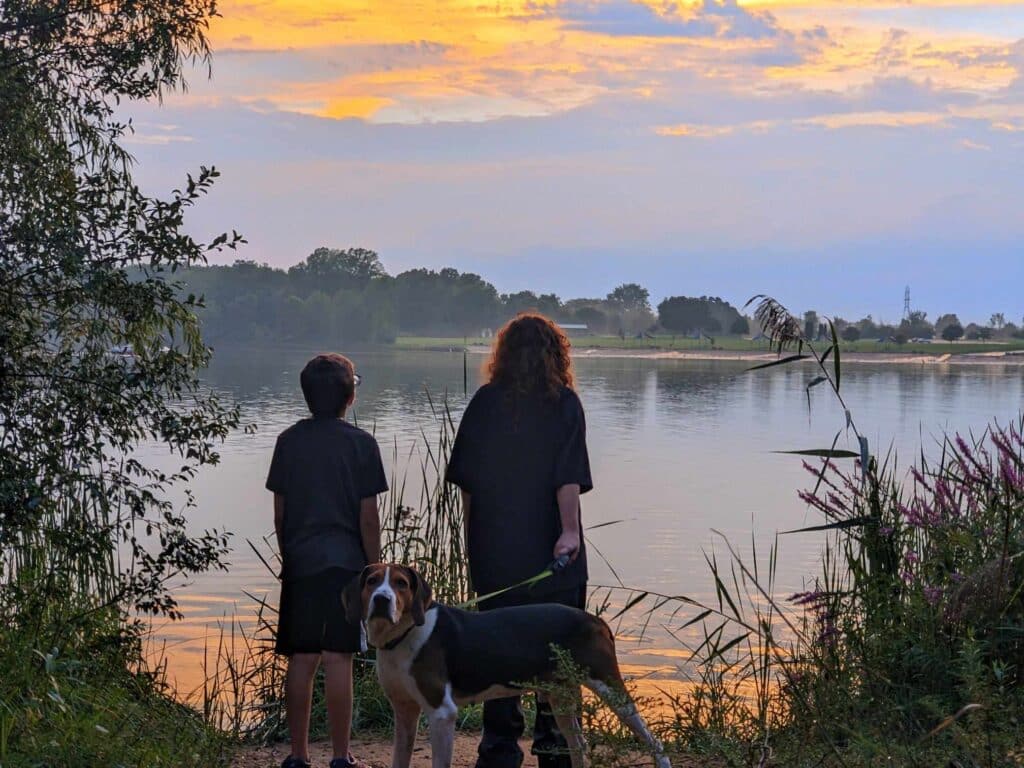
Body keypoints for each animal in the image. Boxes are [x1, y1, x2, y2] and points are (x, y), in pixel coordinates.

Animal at [344, 565, 671, 768]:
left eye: (400, 583)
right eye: (372, 581)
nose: (382, 599)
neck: (403, 634)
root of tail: (594, 619)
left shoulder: (442, 713)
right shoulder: (404, 712)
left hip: (609, 688)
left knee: (655, 744)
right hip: (560, 699)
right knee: (577, 744)